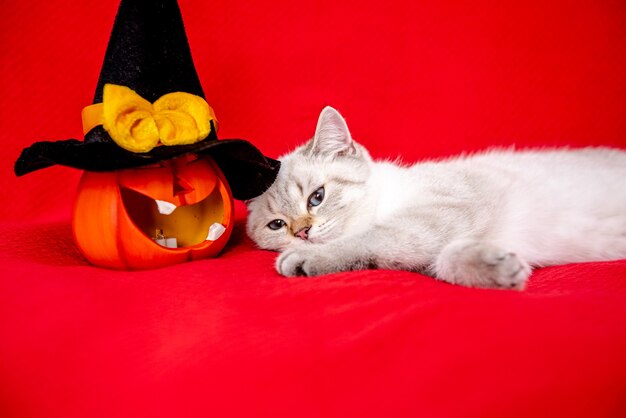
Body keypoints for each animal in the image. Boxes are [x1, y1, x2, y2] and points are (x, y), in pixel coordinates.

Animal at [245, 106, 624, 290]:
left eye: (317, 197)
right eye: (277, 225)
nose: (302, 233)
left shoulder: (446, 210)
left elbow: (376, 237)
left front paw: (305, 258)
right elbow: (441, 261)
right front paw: (500, 268)